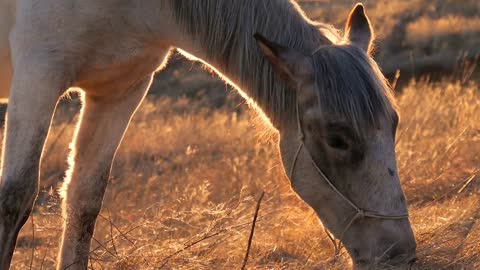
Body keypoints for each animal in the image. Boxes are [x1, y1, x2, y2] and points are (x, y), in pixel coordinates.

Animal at [0, 1, 416, 268]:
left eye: (394, 124)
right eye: (337, 139)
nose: (400, 255)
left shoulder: (121, 90)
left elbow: (84, 201)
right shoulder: (38, 77)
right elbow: (15, 197)